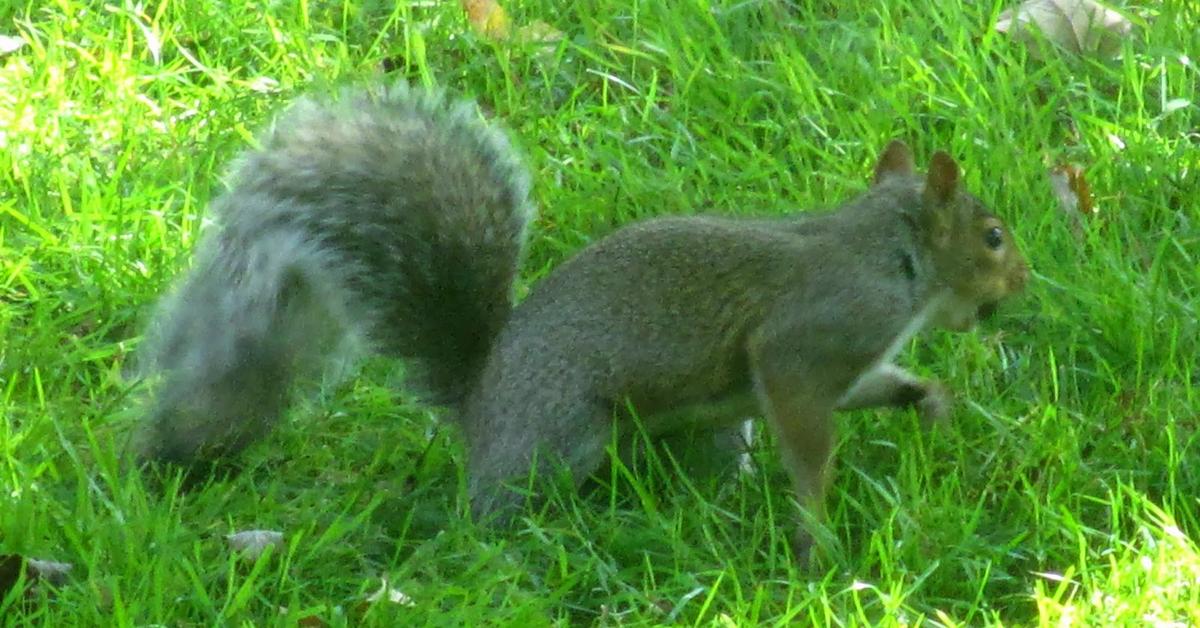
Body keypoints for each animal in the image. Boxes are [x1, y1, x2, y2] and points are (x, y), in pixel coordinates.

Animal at [133, 82, 1032, 559]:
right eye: (992, 236)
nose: (1024, 279)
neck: (890, 255)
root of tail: (480, 404)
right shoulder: (808, 340)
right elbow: (806, 432)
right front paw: (816, 533)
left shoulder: (845, 359)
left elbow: (873, 387)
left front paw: (927, 399)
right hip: (564, 430)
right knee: (503, 508)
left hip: (705, 429)